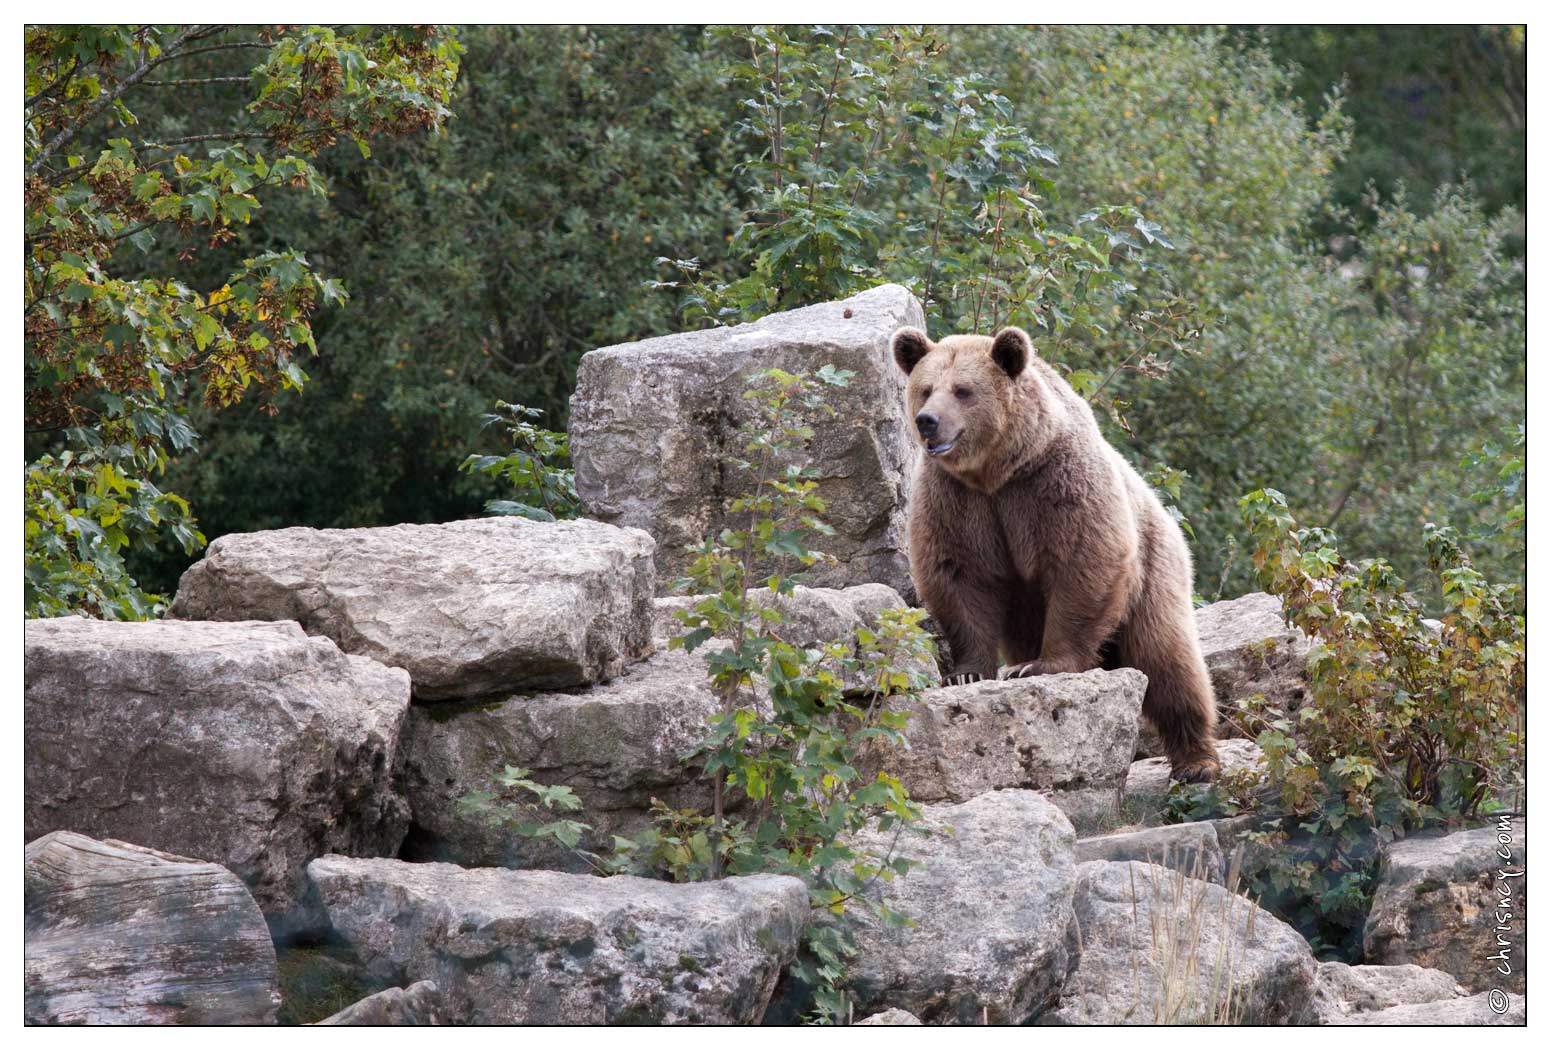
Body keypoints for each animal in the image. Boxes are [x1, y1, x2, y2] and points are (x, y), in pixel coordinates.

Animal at [899, 325, 1222, 787]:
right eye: (925, 389)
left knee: (1166, 659)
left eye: (963, 390)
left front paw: (1039, 666)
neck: (997, 471)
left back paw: (1196, 760)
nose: (928, 421)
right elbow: (959, 576)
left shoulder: (1054, 482)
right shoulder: (956, 501)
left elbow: (1083, 561)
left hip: (1155, 565)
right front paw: (968, 670)